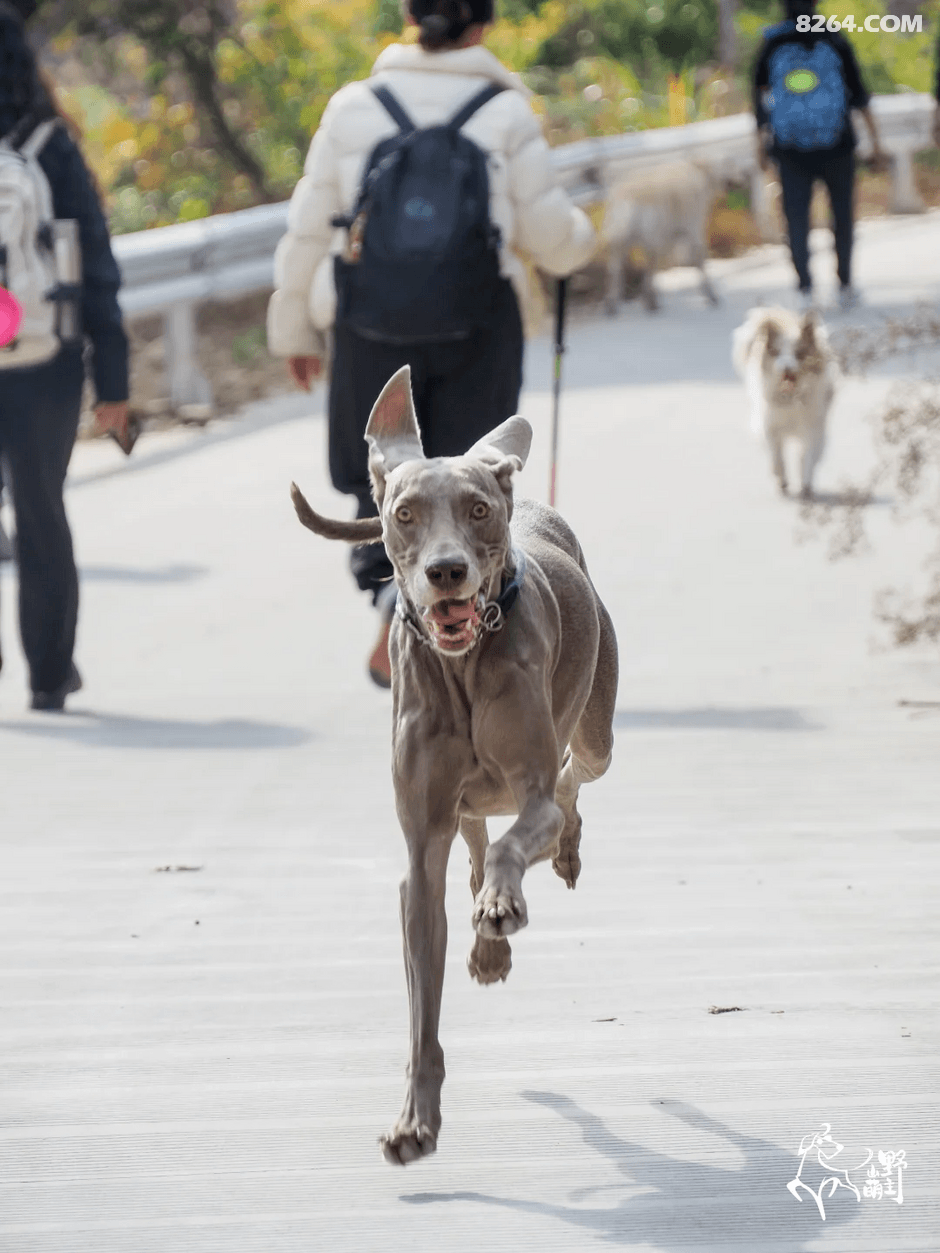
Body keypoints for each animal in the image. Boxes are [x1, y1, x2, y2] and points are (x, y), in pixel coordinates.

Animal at [291, 366, 618, 1165]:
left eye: (476, 510)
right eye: (405, 514)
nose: (446, 570)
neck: (464, 666)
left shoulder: (532, 788)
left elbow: (526, 826)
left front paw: (505, 905)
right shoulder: (420, 850)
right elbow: (422, 1004)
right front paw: (414, 1121)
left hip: (596, 732)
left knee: (571, 781)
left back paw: (550, 864)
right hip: (464, 804)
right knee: (474, 840)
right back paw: (488, 942)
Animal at [603, 160, 719, 314]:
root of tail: (628, 202)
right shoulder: (692, 228)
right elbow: (698, 259)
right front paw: (710, 295)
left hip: (619, 240)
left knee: (615, 269)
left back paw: (613, 305)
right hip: (651, 236)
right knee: (649, 267)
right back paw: (650, 301)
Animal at [732, 306, 838, 499]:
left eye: (799, 353)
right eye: (776, 352)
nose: (786, 368)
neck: (791, 399)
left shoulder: (813, 427)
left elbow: (808, 457)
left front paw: (806, 484)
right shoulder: (770, 427)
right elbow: (777, 457)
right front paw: (782, 481)